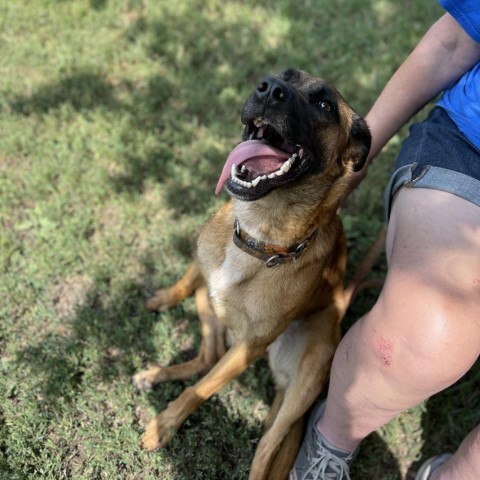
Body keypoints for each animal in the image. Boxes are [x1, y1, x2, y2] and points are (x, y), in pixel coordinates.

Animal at [134, 68, 376, 480]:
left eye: (325, 105)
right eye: (284, 75)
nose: (270, 88)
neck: (259, 235)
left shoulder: (247, 350)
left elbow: (200, 390)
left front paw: (164, 425)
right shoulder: (202, 266)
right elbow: (185, 280)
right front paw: (163, 297)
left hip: (297, 394)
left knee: (263, 449)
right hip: (208, 307)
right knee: (206, 356)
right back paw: (155, 373)